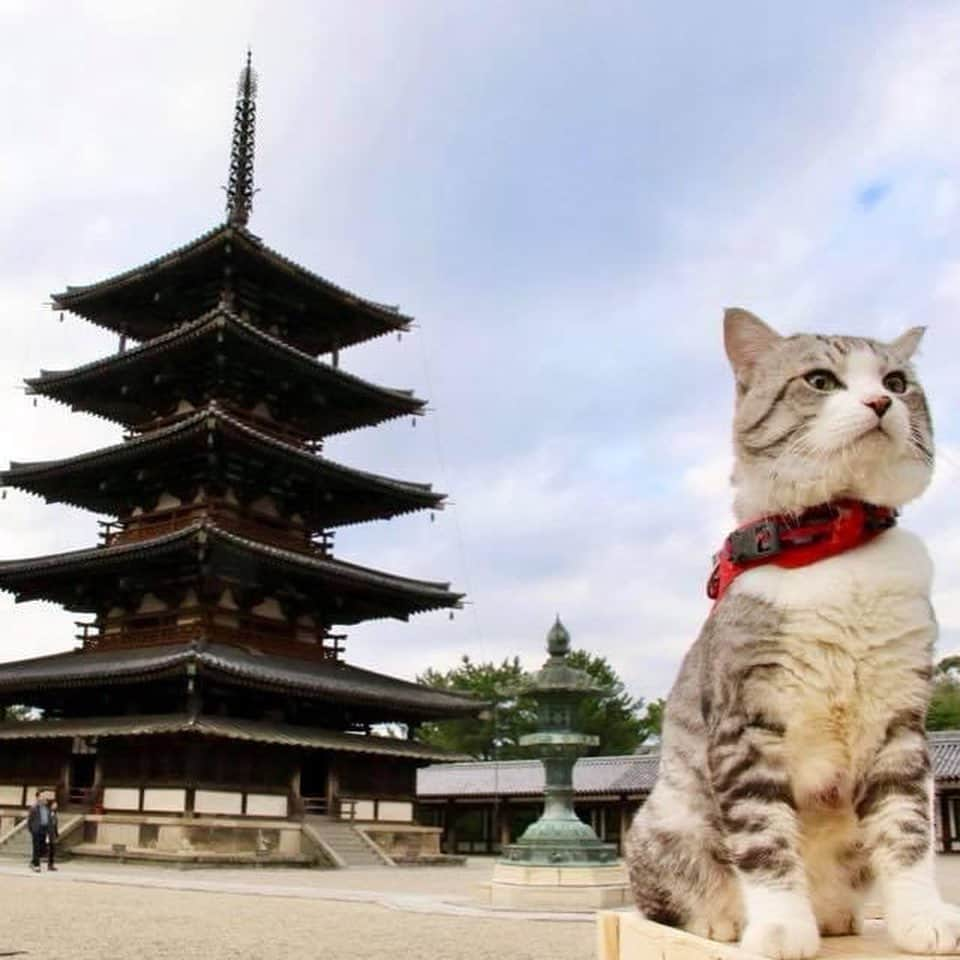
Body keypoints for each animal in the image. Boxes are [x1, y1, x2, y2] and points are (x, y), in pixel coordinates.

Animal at [624, 312, 952, 956]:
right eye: (820, 380)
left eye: (897, 382)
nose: (880, 402)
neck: (837, 545)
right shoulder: (745, 720)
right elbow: (764, 840)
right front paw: (778, 930)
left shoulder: (900, 719)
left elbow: (907, 830)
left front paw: (923, 920)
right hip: (664, 820)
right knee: (670, 901)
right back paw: (724, 922)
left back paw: (836, 917)